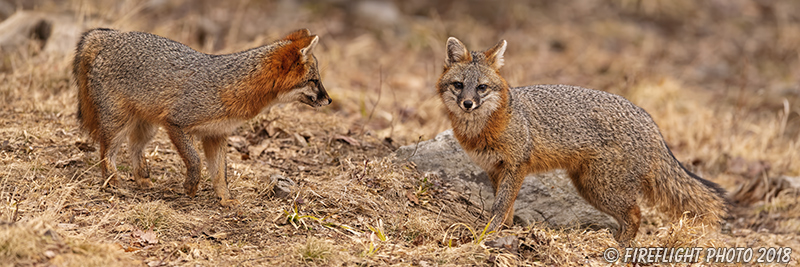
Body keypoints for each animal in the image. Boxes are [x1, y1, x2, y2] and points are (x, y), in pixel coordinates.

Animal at [72, 28, 328, 207]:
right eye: (314, 81)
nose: (329, 100)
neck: (231, 86)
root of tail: (110, 35)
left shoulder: (216, 135)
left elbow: (220, 174)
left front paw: (225, 200)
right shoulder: (176, 123)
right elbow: (195, 160)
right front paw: (190, 187)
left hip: (147, 127)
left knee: (134, 147)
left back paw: (142, 178)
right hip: (118, 124)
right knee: (106, 153)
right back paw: (113, 183)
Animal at [434, 37, 728, 245]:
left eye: (481, 87)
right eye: (458, 85)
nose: (468, 104)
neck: (482, 129)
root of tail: (651, 122)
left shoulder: (516, 166)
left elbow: (500, 206)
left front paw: (488, 233)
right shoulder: (495, 170)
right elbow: (506, 207)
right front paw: (503, 232)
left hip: (600, 188)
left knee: (636, 214)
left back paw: (620, 246)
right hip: (591, 187)